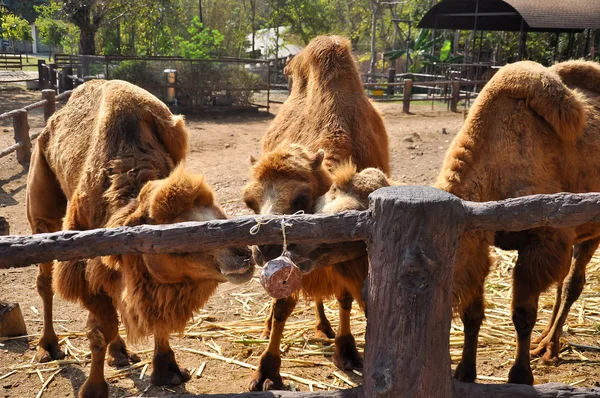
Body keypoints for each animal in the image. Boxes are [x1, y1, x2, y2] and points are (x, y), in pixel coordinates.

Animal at [27, 79, 253, 396]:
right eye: (182, 241)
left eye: (220, 215)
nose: (243, 254)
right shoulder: (82, 259)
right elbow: (100, 327)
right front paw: (93, 389)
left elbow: (151, 316)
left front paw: (167, 370)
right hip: (42, 199)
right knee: (45, 278)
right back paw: (48, 348)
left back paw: (120, 353)